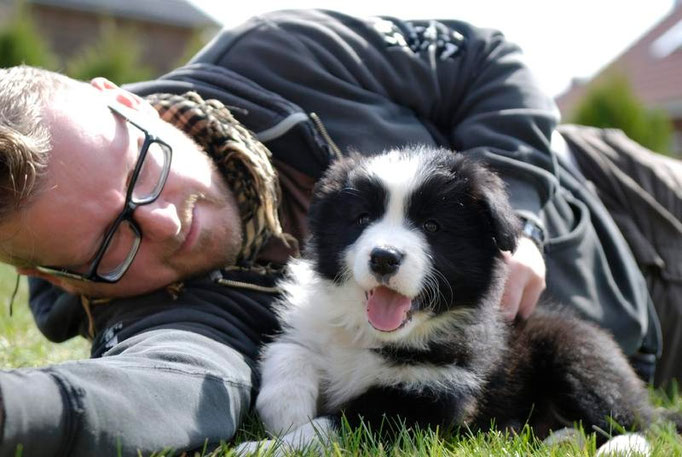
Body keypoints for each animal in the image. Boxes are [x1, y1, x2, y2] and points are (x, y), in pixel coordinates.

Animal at [239, 146, 673, 455]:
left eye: (432, 226)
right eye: (361, 219)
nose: (383, 257)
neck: (372, 334)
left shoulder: (429, 395)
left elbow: (334, 426)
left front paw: (263, 447)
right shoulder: (315, 327)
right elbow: (288, 351)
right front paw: (285, 412)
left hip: (579, 355)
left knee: (637, 421)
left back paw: (619, 447)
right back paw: (560, 440)